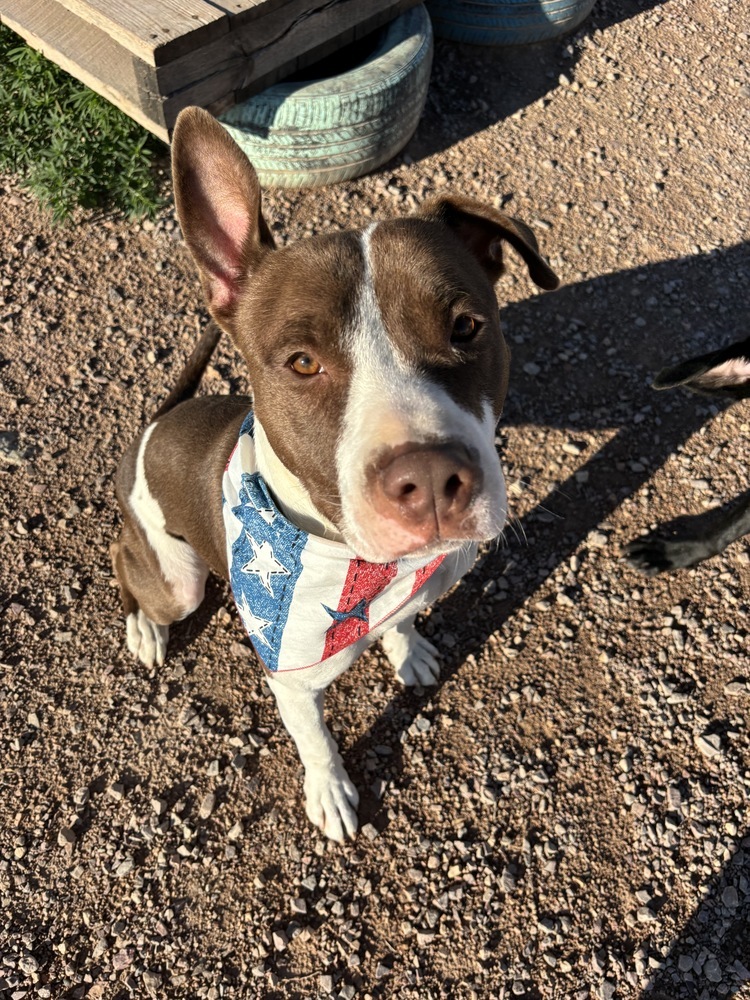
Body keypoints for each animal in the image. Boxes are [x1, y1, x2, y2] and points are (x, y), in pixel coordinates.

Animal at [111, 107, 560, 844]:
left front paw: (408, 651)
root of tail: (155, 423)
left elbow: (402, 624)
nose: (430, 479)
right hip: (173, 578)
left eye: (467, 326)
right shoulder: (291, 681)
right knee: (129, 567)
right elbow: (317, 741)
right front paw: (331, 792)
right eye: (301, 361)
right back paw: (144, 629)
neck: (356, 566)